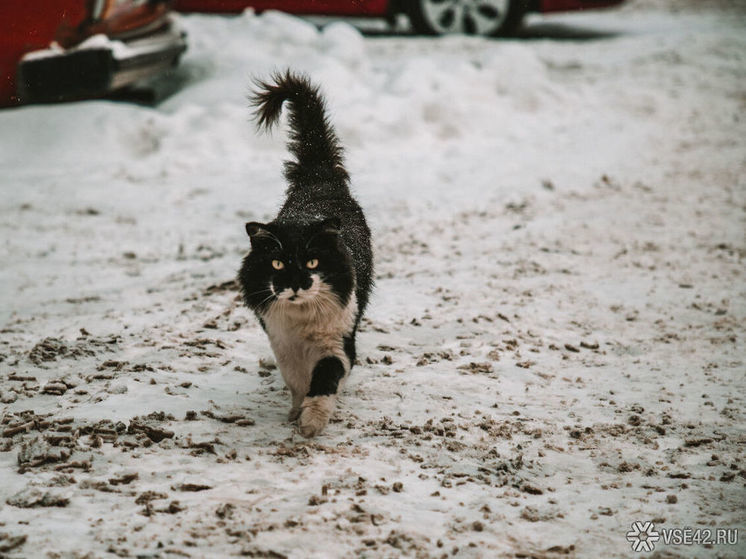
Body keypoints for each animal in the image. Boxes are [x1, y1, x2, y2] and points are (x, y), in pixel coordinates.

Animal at [238, 71, 372, 438]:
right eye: (277, 263)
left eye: (312, 261)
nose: (296, 283)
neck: (302, 321)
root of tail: (318, 176)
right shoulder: (283, 343)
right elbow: (297, 381)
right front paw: (297, 412)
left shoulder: (337, 341)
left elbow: (325, 377)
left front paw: (312, 422)